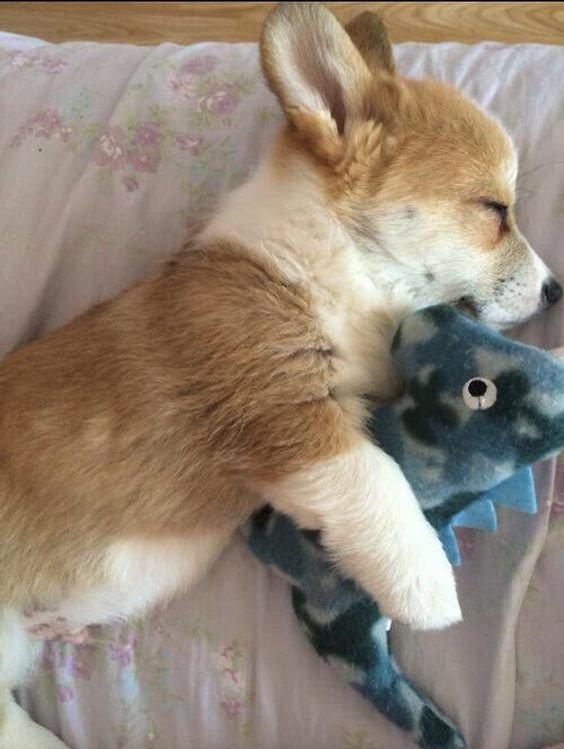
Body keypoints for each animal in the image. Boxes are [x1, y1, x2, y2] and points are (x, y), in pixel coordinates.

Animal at [0, 2, 560, 744]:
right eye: (495, 210)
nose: (557, 292)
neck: (327, 258)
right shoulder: (283, 413)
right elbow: (375, 479)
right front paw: (428, 583)